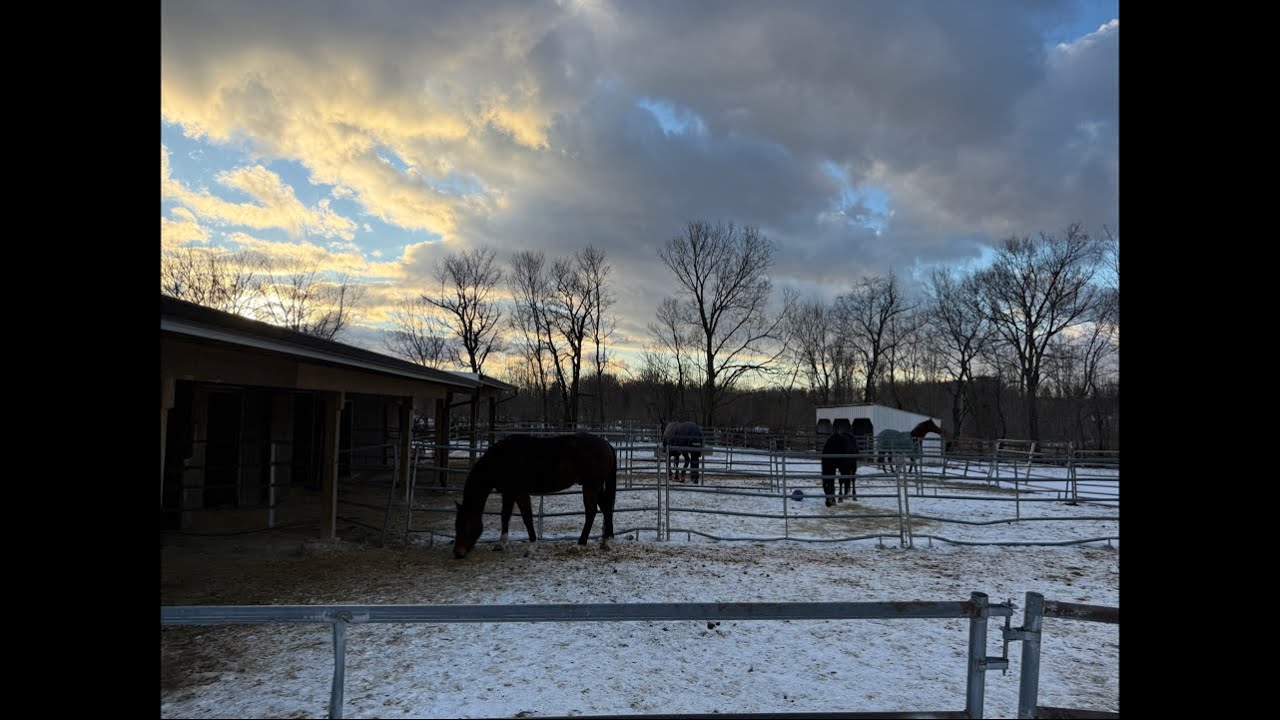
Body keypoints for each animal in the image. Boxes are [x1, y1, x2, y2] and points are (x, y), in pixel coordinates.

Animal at [453, 433, 617, 559]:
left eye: (464, 525)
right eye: (456, 525)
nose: (457, 553)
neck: (502, 459)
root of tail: (606, 444)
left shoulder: (520, 492)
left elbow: (527, 517)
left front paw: (531, 547)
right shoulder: (508, 492)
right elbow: (505, 515)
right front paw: (501, 543)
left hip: (590, 486)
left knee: (591, 511)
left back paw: (579, 545)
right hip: (596, 487)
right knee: (606, 508)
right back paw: (607, 542)